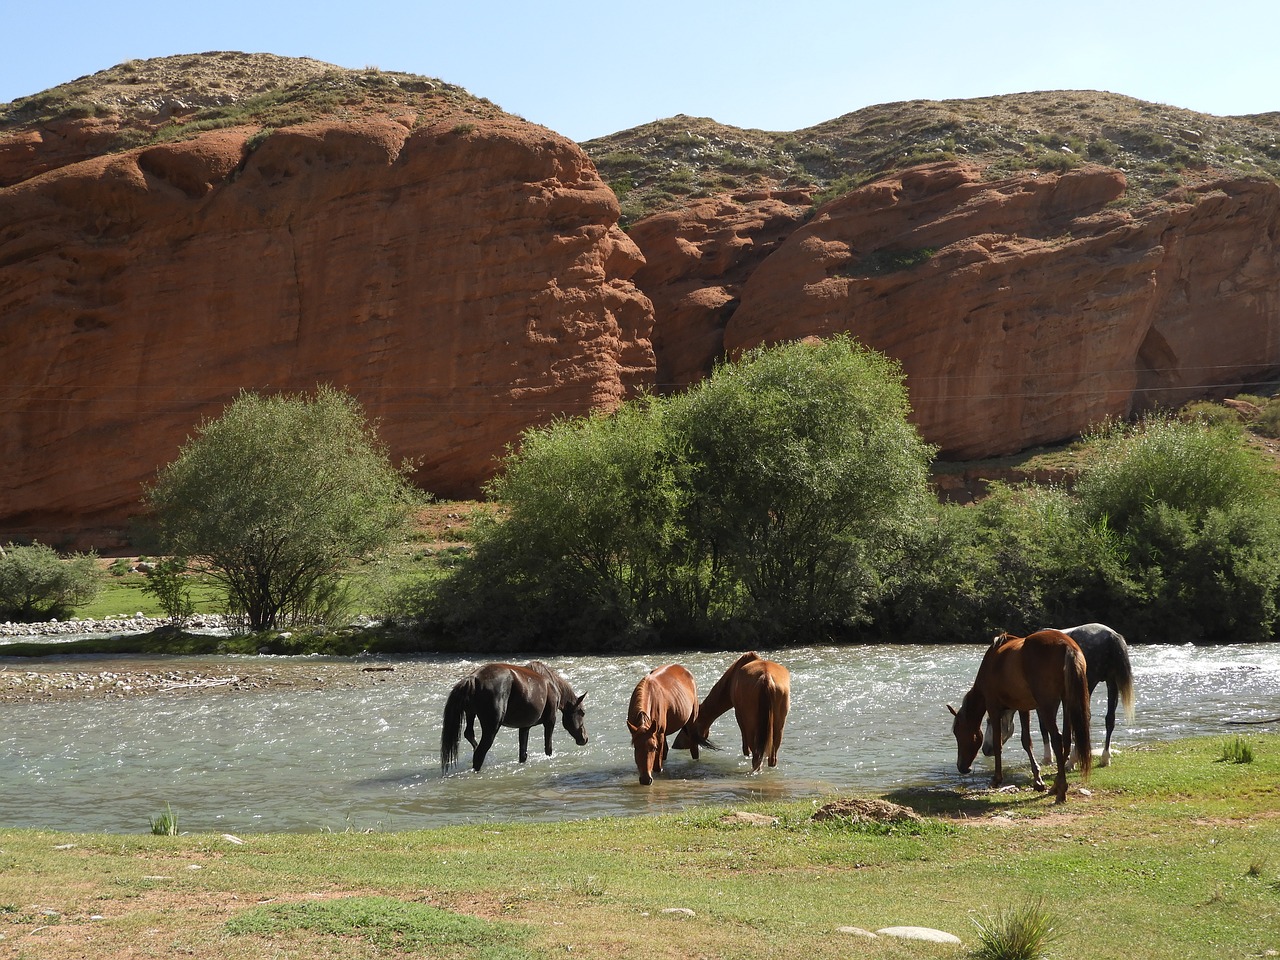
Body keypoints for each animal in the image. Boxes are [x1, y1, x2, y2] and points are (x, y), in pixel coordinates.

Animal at [435, 660, 586, 773]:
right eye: (582, 712)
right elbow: (548, 748)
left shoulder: (524, 727)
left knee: (469, 735)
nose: (585, 738)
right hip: (492, 727)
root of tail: (473, 678)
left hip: (470, 714)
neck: (552, 685)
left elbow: (523, 754)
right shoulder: (550, 721)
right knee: (479, 753)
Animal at [952, 632, 1090, 803]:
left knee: (1057, 739)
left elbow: (997, 743)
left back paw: (1061, 791)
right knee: (1065, 738)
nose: (962, 767)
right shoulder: (1024, 708)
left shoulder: (993, 706)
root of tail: (1067, 646)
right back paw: (1055, 786)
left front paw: (996, 779)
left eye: (957, 733)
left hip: (1047, 705)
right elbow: (1026, 742)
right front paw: (1038, 781)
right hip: (1067, 701)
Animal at [983, 627, 1136, 773]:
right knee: (1109, 719)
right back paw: (1105, 758)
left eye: (989, 721)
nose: (985, 749)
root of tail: (1112, 637)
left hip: (1088, 683)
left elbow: (1044, 726)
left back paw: (1072, 761)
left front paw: (1048, 758)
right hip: (1111, 682)